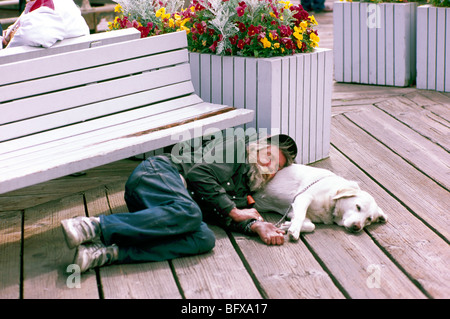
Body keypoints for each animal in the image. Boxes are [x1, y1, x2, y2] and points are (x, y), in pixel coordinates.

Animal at [253, 164, 386, 241]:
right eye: (358, 207)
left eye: (369, 219)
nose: (357, 227)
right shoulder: (303, 198)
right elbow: (301, 218)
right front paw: (294, 230)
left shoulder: (293, 211)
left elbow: (310, 225)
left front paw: (288, 225)